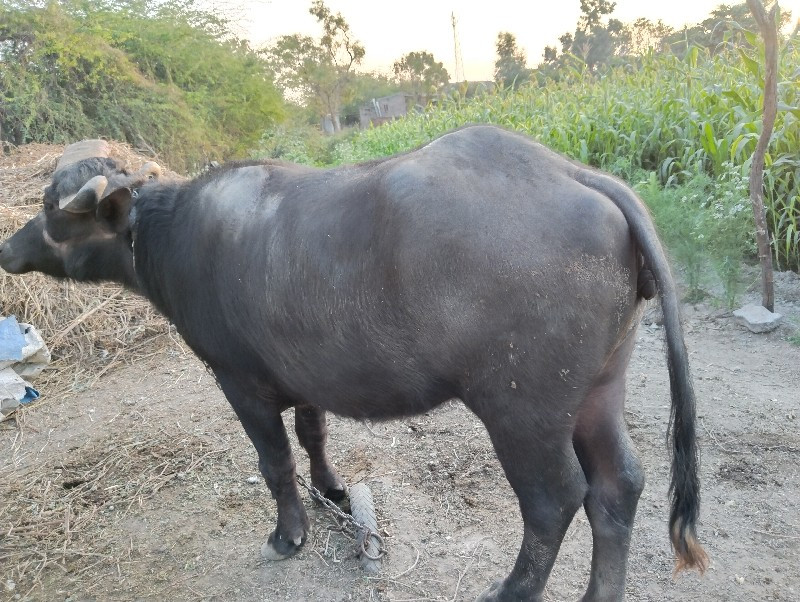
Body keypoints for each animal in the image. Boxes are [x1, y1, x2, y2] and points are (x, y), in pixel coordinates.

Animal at [0, 124, 708, 596]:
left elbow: (275, 460)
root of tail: (570, 173)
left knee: (554, 499)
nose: (8, 247)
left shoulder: (238, 381)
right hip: (598, 388)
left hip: (521, 408)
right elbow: (313, 433)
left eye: (51, 211)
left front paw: (287, 535)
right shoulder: (304, 375)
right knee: (619, 485)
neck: (169, 234)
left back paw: (511, 591)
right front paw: (333, 490)